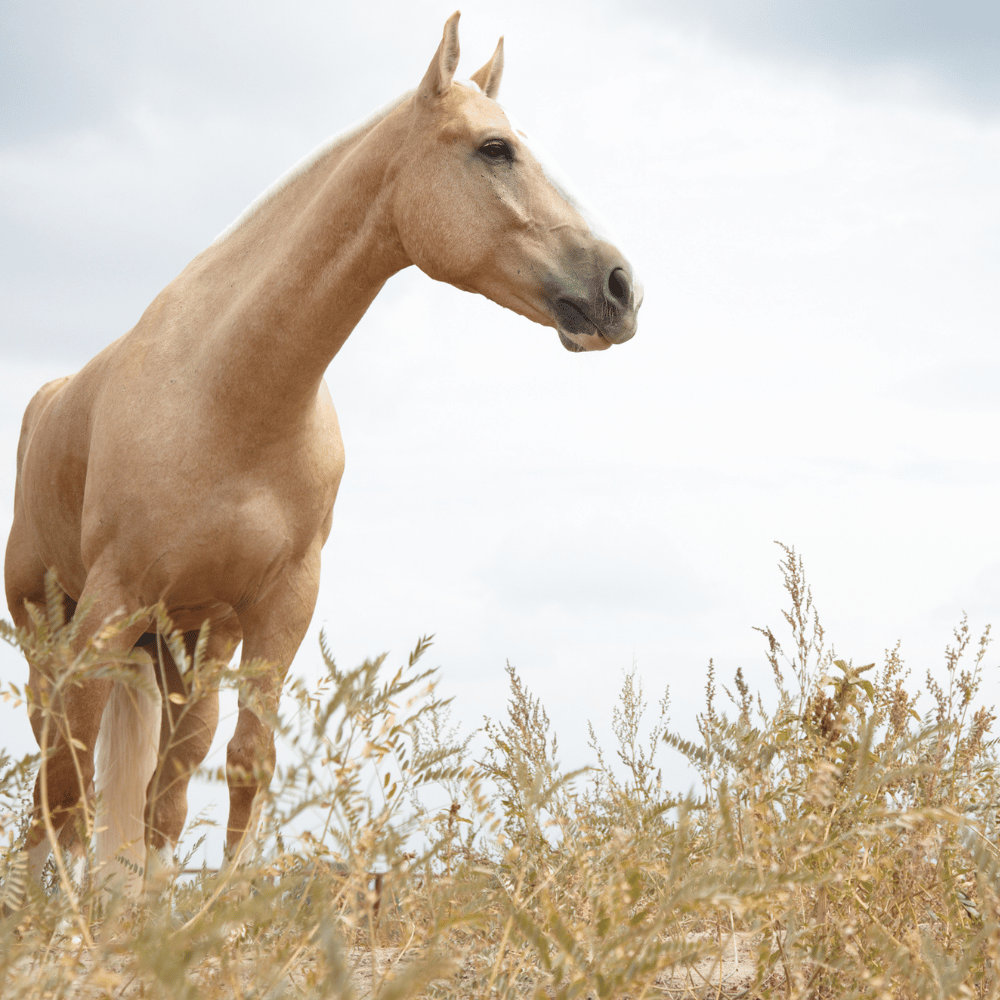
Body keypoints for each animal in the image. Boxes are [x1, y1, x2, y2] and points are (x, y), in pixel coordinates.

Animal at [3, 7, 644, 900]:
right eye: (494, 148)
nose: (621, 287)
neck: (230, 393)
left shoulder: (278, 605)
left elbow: (243, 763)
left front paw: (213, 917)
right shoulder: (110, 604)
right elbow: (70, 775)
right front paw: (72, 925)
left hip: (187, 647)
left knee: (167, 777)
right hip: (51, 633)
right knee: (54, 769)